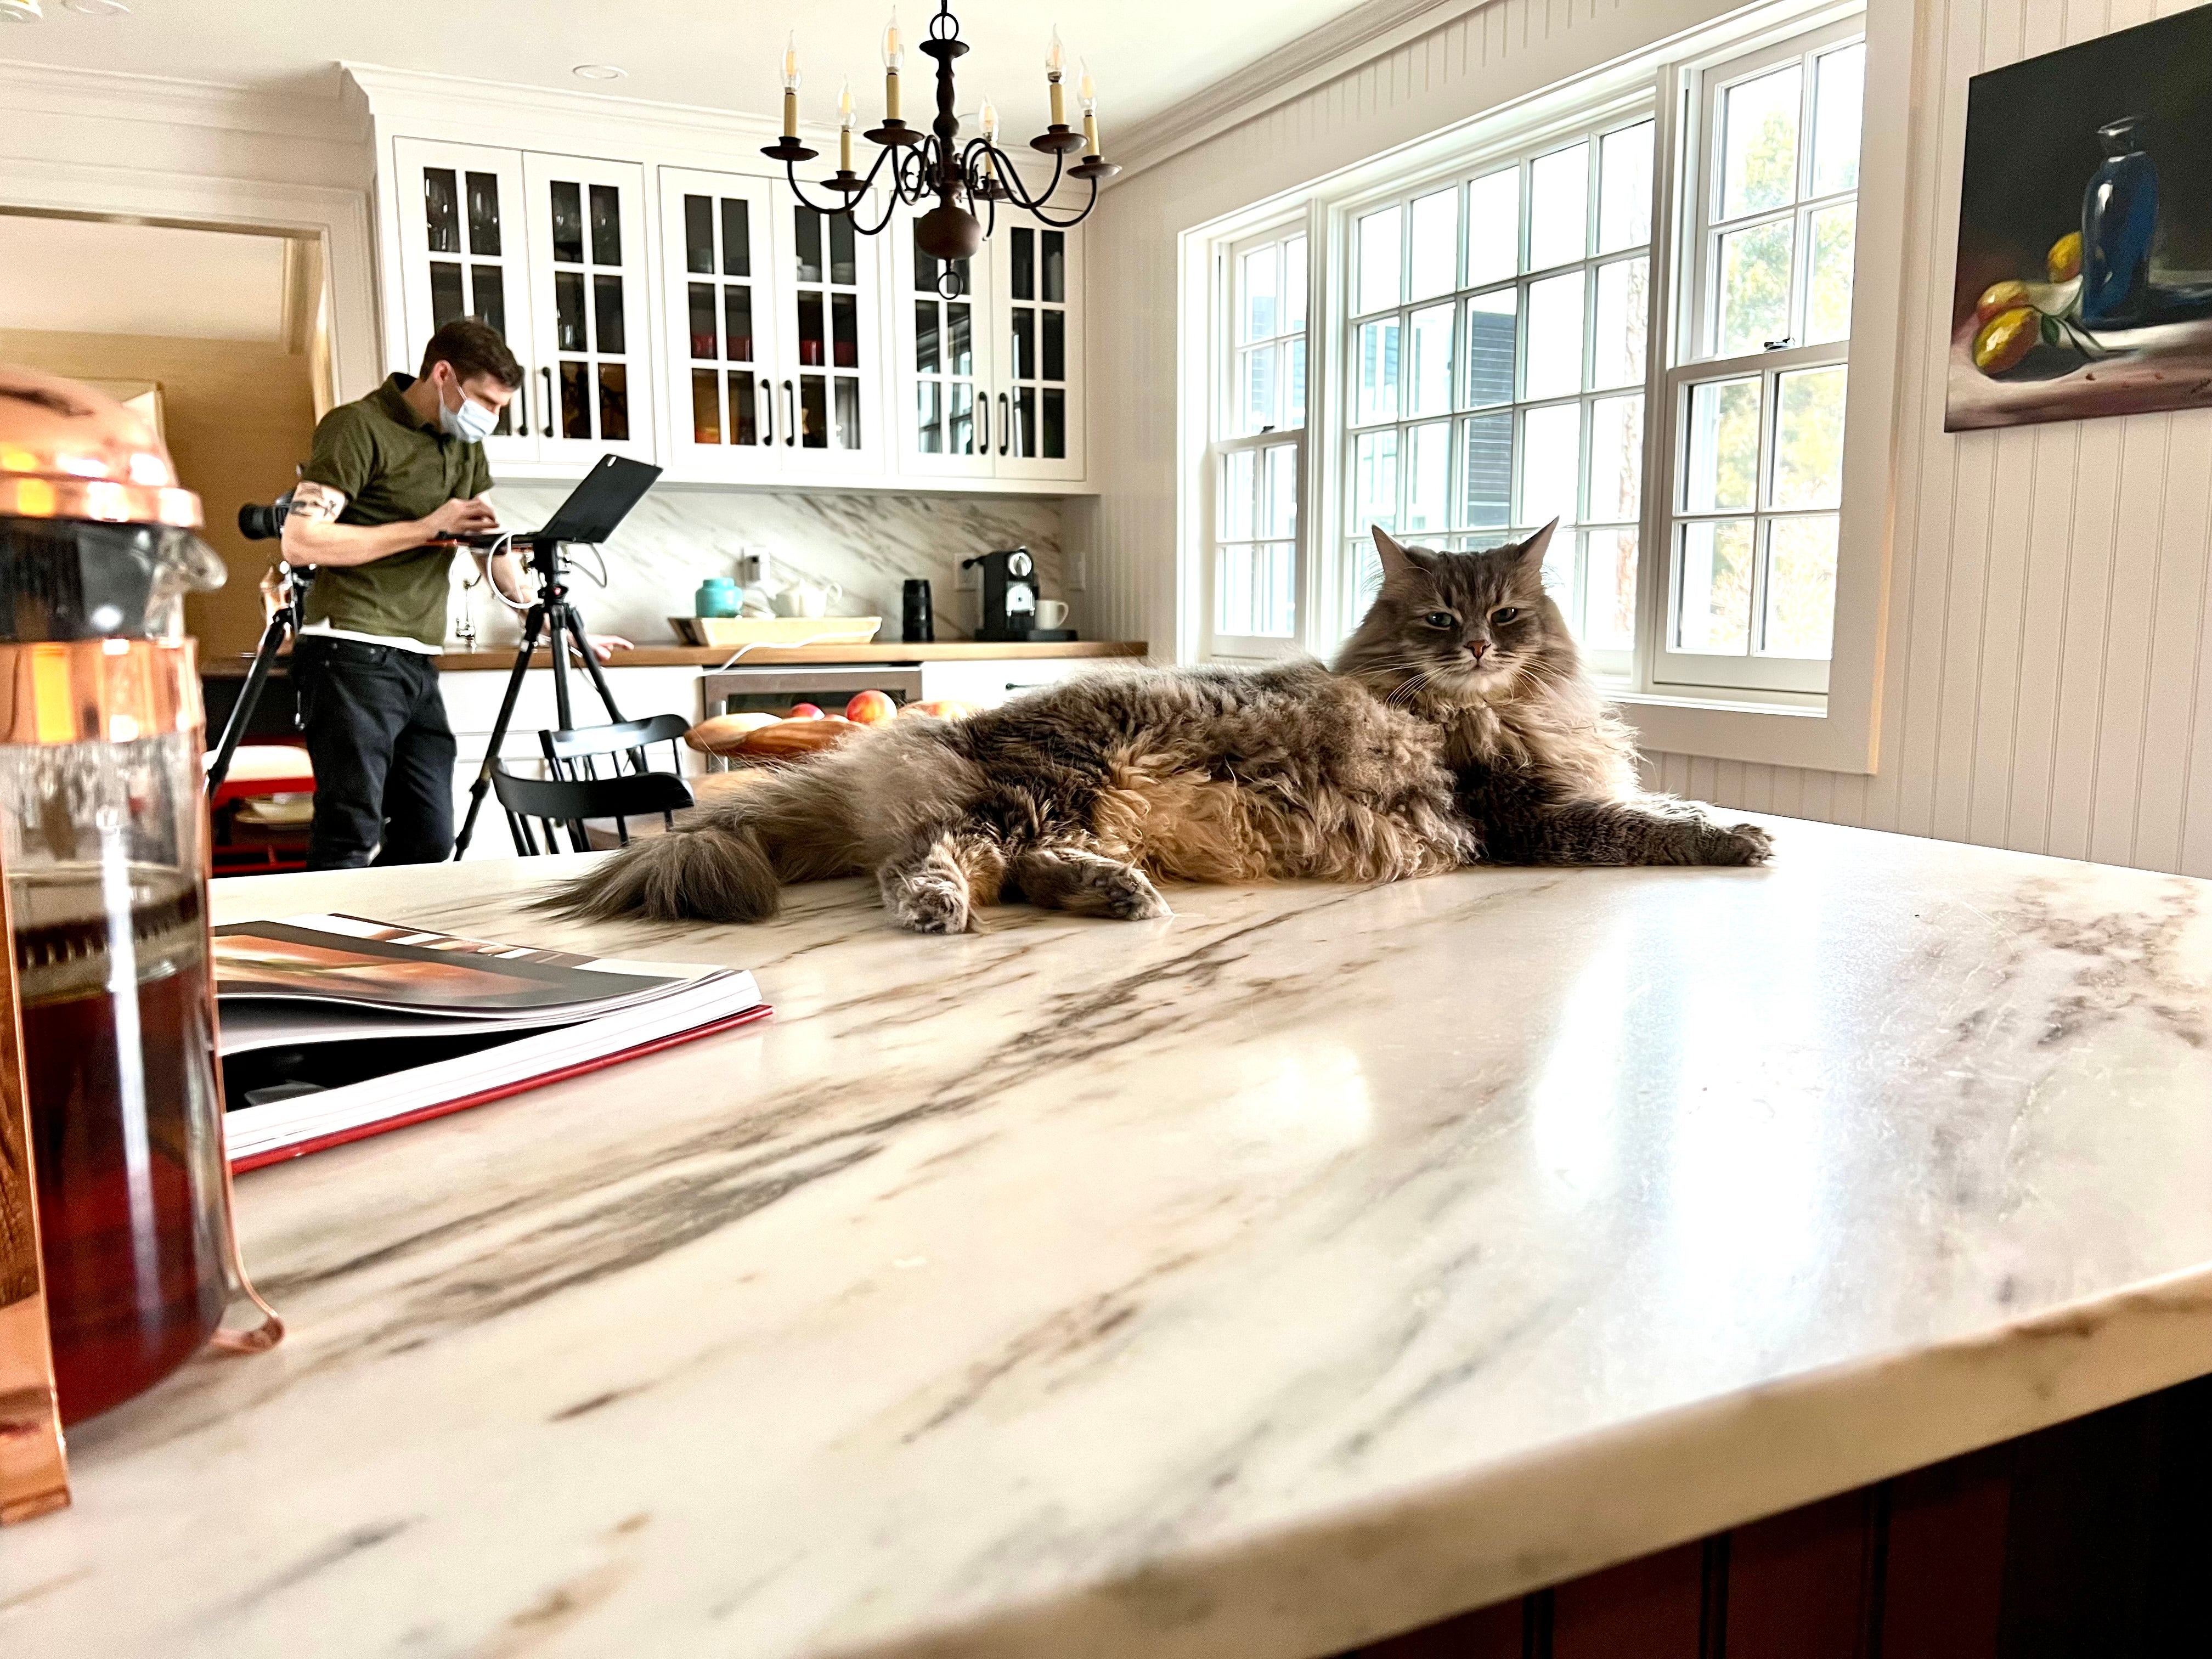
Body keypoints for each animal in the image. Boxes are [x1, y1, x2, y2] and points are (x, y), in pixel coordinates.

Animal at [548, 522, 1768, 933]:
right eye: (1437, 619)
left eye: (1507, 615)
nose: (1473, 648)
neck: (1501, 706)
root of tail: (908, 742)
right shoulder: (1524, 809)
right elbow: (1645, 823)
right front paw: (1738, 838)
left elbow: (1655, 796)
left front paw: (1724, 813)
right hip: (1042, 787)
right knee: (930, 862)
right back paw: (948, 908)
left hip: (1080, 809)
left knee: (1026, 867)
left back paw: (1117, 896)